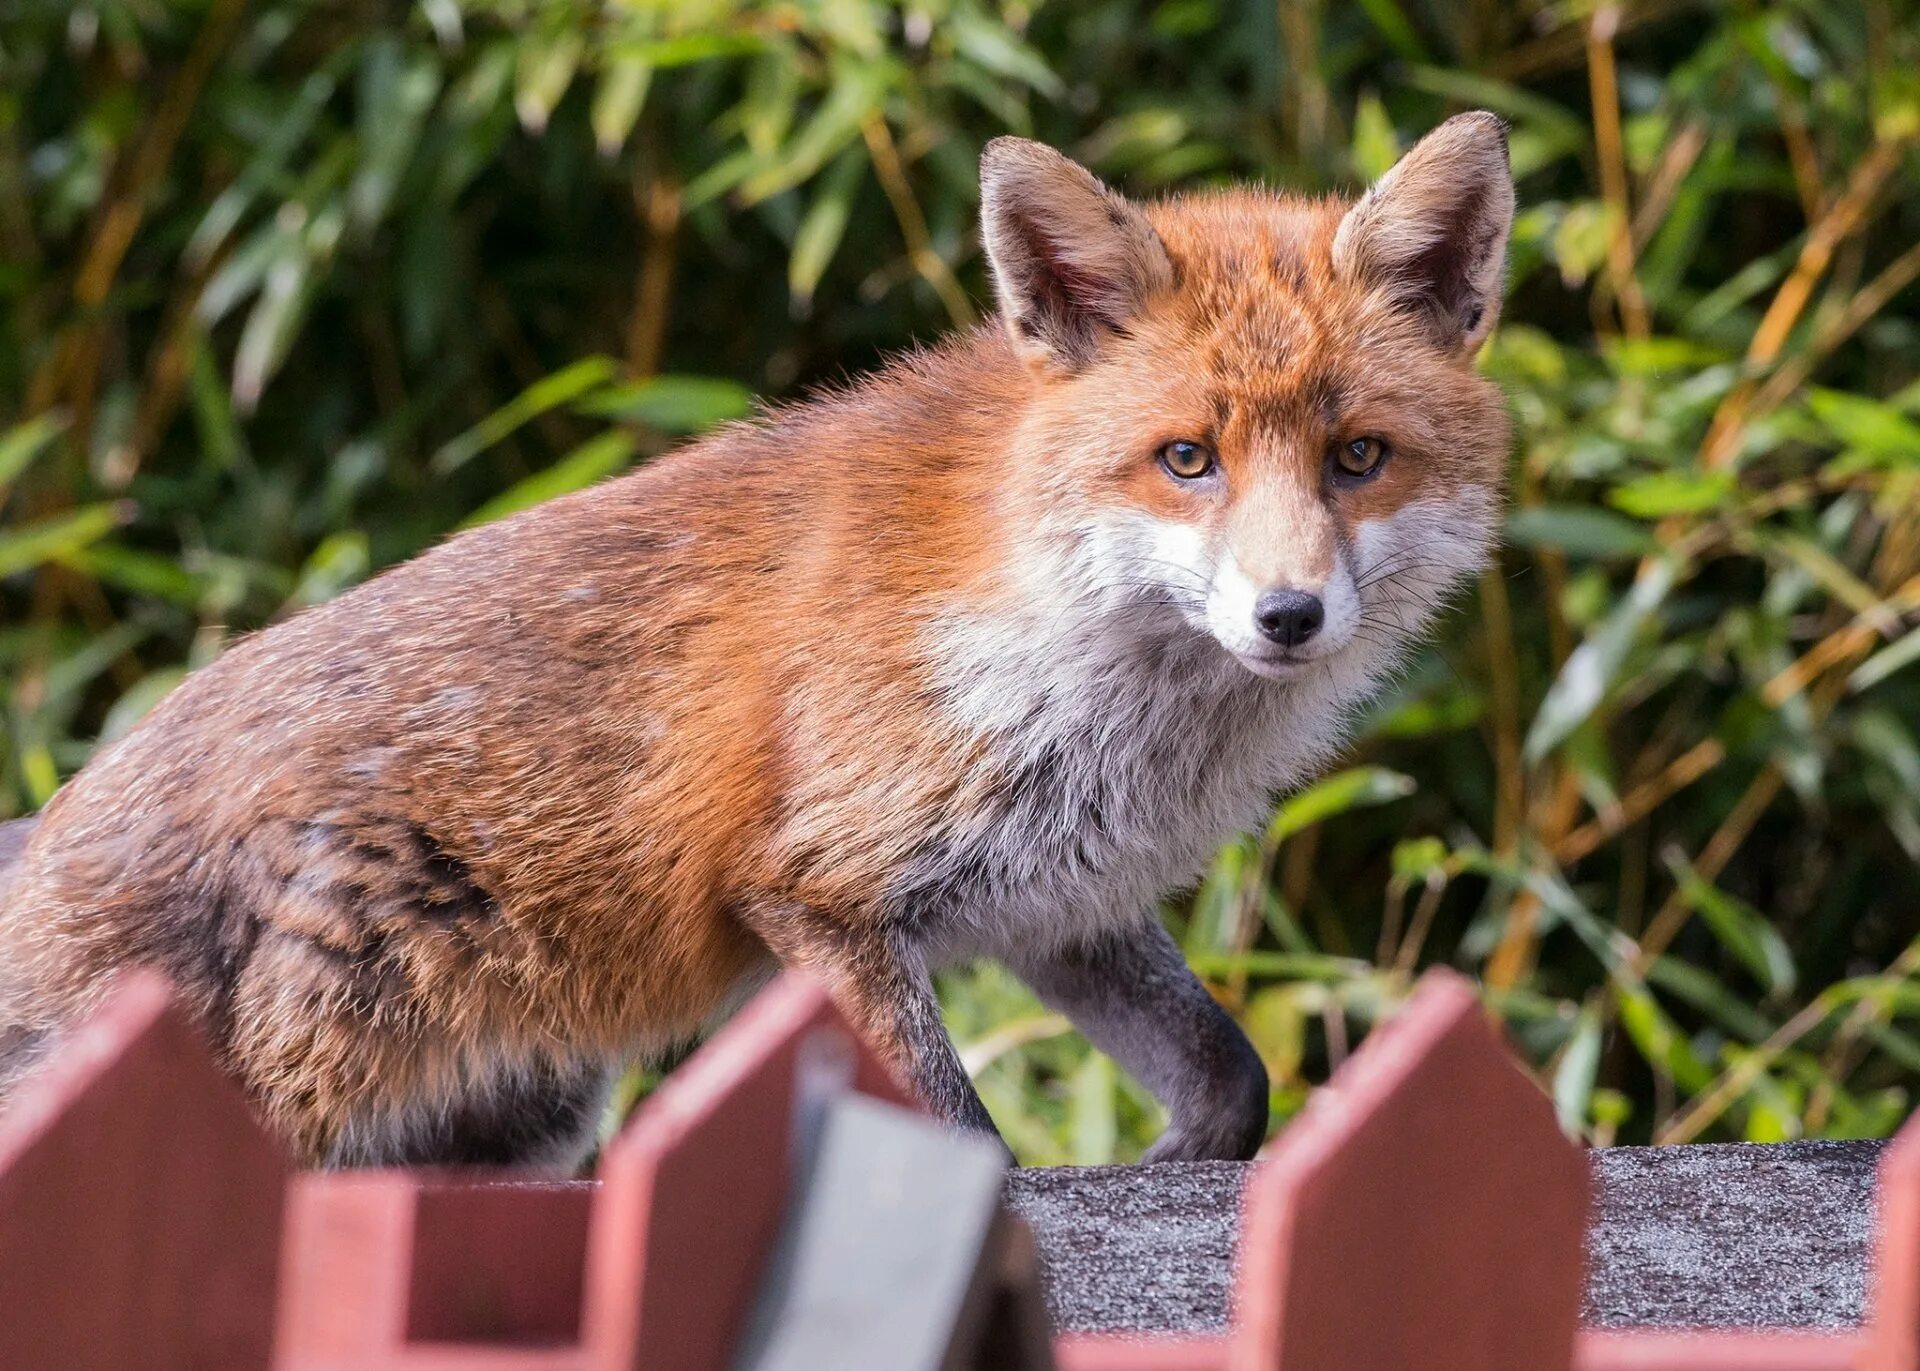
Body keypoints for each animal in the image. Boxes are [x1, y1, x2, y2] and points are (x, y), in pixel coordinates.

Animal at [0, 112, 1512, 1167]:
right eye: (1188, 459)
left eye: (1359, 457)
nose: (1287, 615)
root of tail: (60, 829)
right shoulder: (819, 887)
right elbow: (962, 1138)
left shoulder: (1056, 900)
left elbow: (1232, 1079)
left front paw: (1169, 1169)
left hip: (518, 1124)